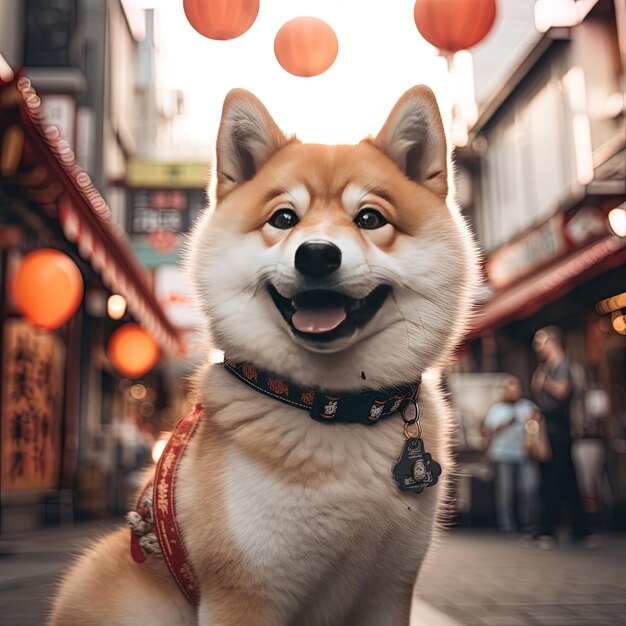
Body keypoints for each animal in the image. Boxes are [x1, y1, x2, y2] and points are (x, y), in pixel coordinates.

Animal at [48, 84, 476, 624]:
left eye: (370, 218)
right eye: (284, 218)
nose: (317, 253)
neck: (335, 409)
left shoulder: (390, 587)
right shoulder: (245, 591)